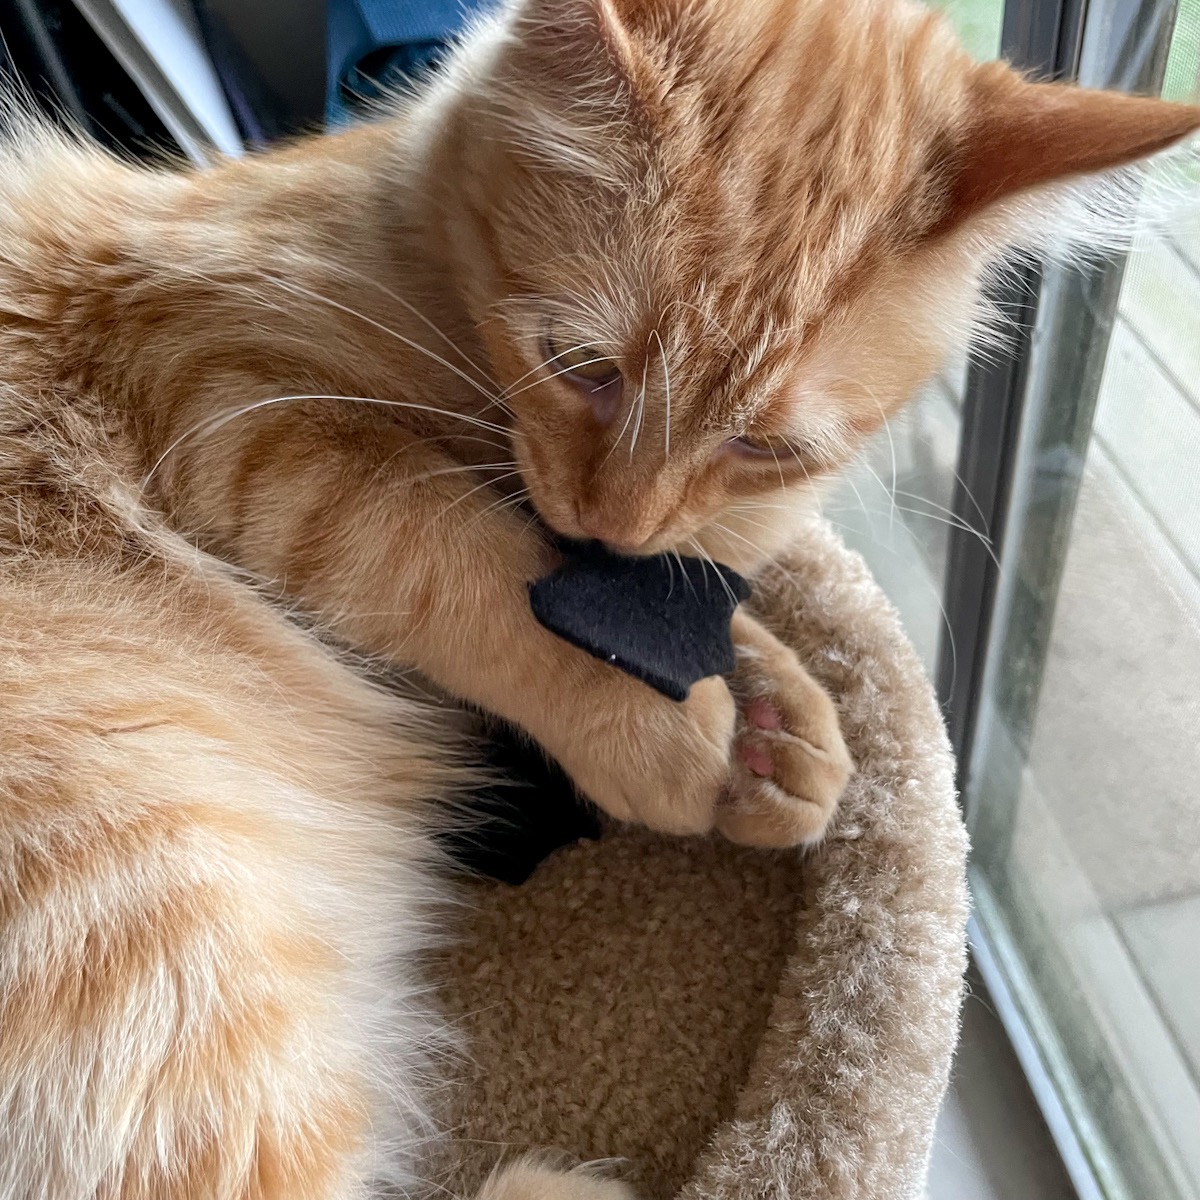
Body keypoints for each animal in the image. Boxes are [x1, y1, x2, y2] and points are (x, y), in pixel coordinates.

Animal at [0, 0, 1195, 1190]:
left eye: (764, 446)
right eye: (580, 362)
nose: (616, 520)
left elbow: (675, 597)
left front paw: (783, 716)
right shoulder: (225, 402)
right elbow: (458, 555)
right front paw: (653, 724)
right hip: (153, 906)